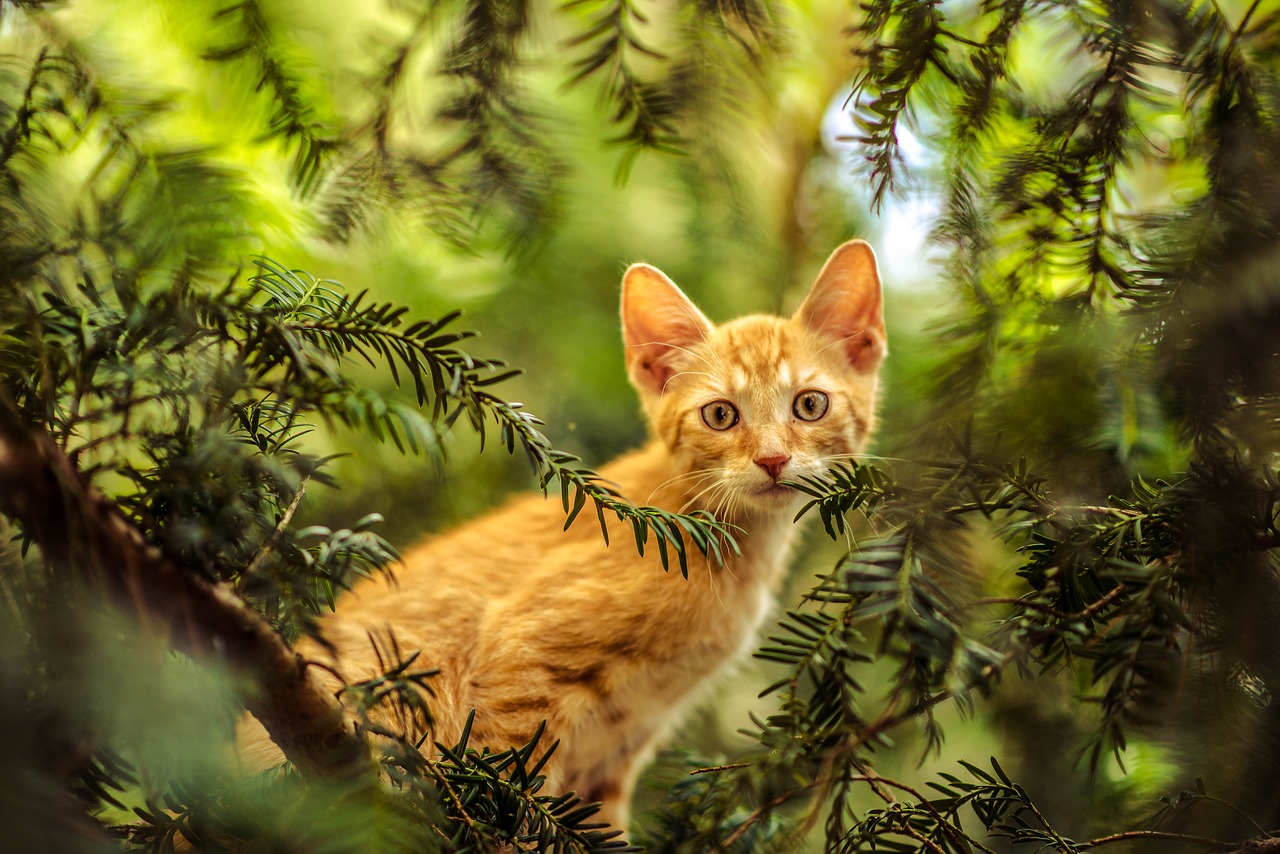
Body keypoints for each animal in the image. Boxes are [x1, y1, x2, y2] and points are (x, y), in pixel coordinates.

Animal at [235, 236, 885, 829]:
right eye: (721, 414)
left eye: (809, 405)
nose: (773, 460)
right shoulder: (520, 658)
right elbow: (512, 791)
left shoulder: (619, 746)